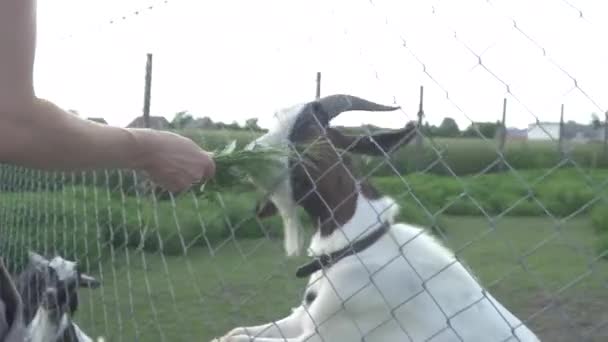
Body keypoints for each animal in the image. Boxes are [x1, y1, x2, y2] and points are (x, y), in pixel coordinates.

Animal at [215, 95, 540, 342]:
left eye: (306, 127)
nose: (250, 152)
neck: (357, 244)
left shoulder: (324, 333)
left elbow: (238, 339)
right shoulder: (303, 318)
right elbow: (235, 333)